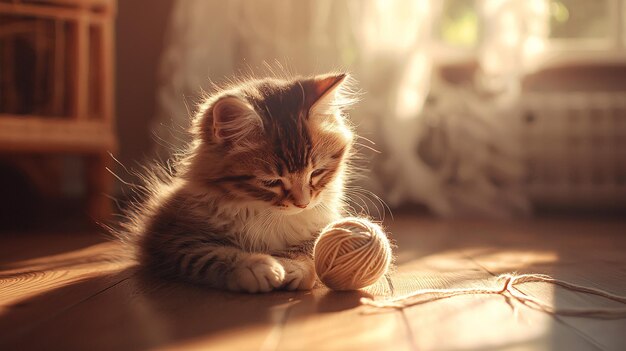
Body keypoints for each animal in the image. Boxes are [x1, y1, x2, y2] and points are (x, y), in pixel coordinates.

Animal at [119, 73, 356, 294]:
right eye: (271, 181)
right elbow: (212, 254)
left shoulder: (325, 222)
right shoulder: (172, 237)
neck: (266, 212)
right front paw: (254, 266)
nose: (303, 204)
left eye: (316, 172)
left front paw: (292, 266)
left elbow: (312, 246)